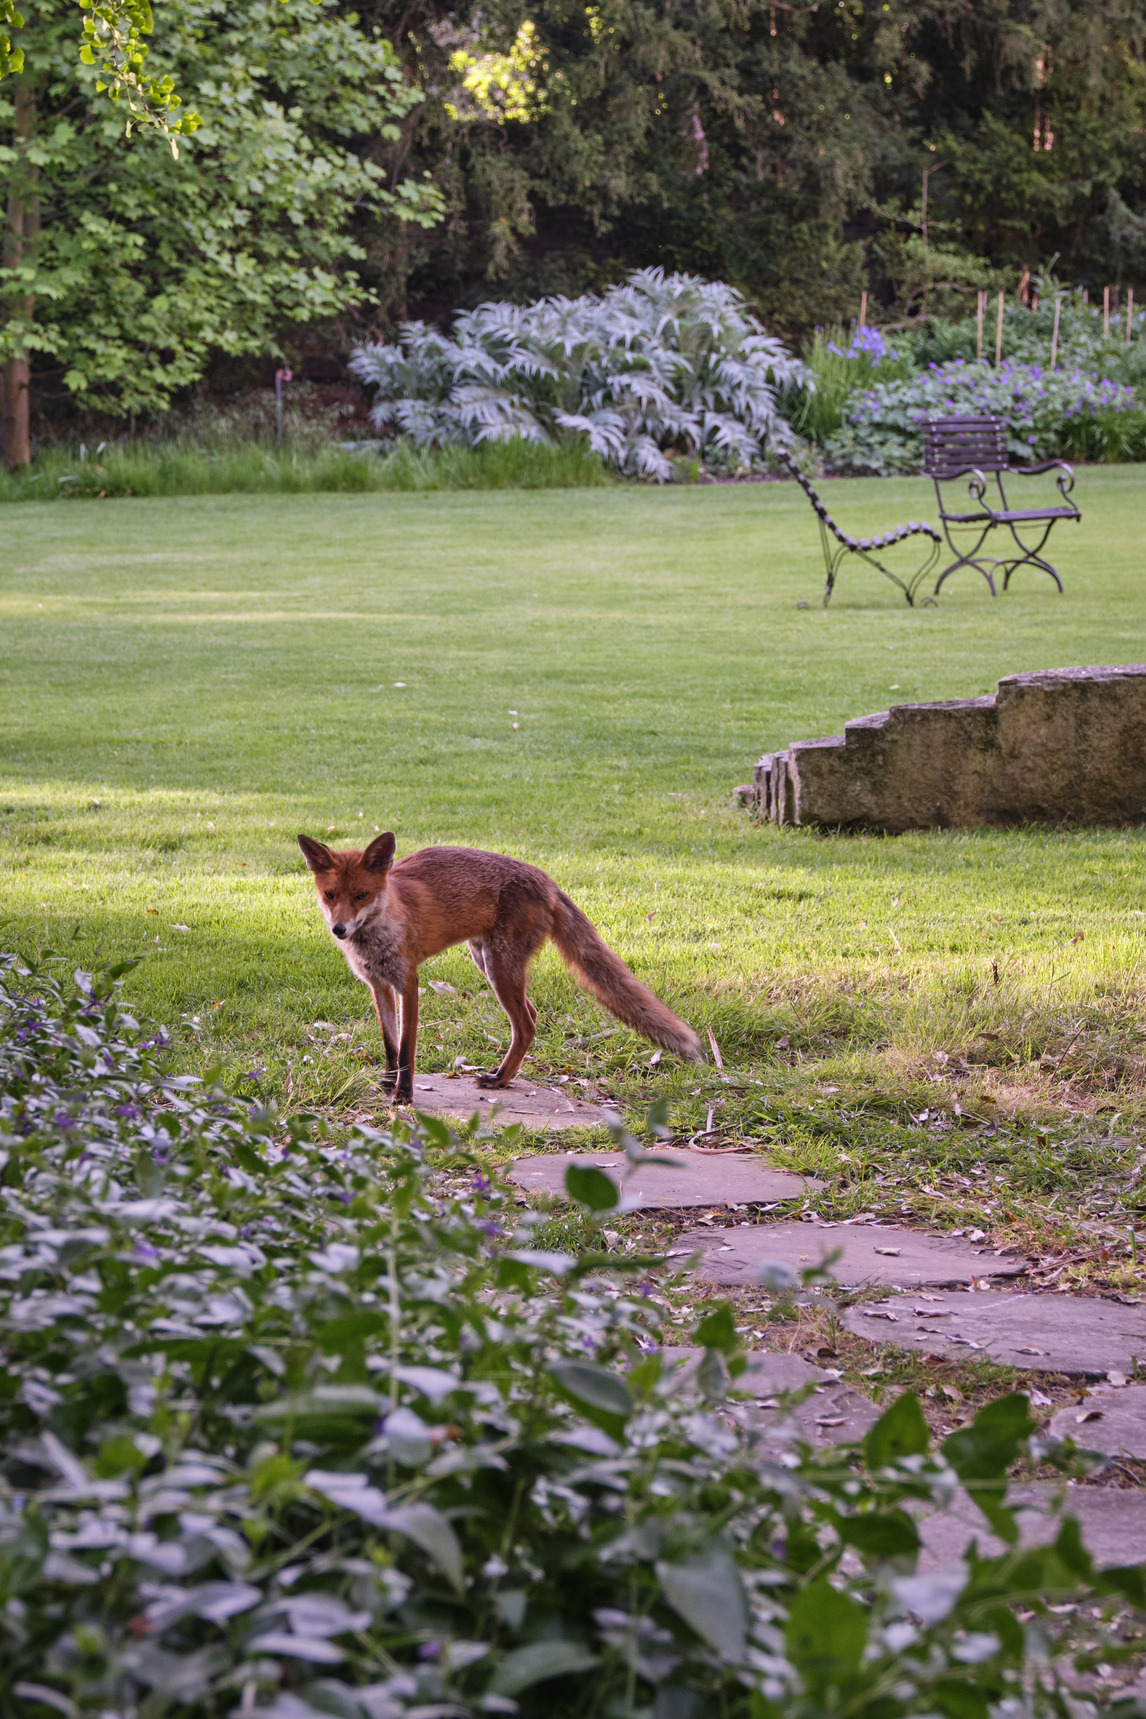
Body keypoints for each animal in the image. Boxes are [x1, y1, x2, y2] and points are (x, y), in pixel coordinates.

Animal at [293, 828, 707, 1100]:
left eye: (362, 895)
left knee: (526, 1024)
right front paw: (387, 1080)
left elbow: (408, 1046)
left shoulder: (408, 982)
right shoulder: (378, 985)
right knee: (533, 1014)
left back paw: (501, 1080)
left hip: (499, 967)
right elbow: (390, 1043)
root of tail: (547, 880)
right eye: (330, 895)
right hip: (487, 961)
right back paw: (501, 1073)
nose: (340, 929)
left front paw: (404, 1094)